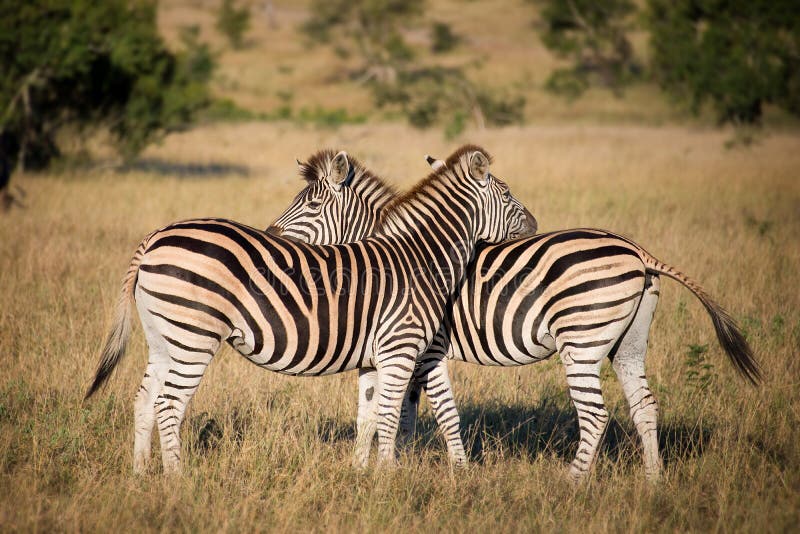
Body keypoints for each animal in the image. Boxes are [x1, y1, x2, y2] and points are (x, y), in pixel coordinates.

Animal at [84, 145, 536, 474]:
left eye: (312, 206)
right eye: (508, 194)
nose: (534, 224)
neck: (420, 258)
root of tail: (155, 237)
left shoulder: (375, 357)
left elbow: (371, 416)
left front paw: (362, 474)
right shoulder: (408, 348)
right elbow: (412, 413)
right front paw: (402, 476)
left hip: (165, 337)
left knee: (145, 399)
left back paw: (142, 476)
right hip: (194, 337)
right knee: (169, 405)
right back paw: (178, 481)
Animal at [267, 151, 761, 481]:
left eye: (310, 206)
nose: (271, 235)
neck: (406, 253)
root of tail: (639, 250)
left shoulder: (424, 349)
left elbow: (429, 411)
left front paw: (447, 473)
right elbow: (402, 414)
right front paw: (394, 465)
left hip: (581, 340)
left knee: (596, 415)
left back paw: (571, 484)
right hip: (627, 342)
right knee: (645, 406)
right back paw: (653, 482)